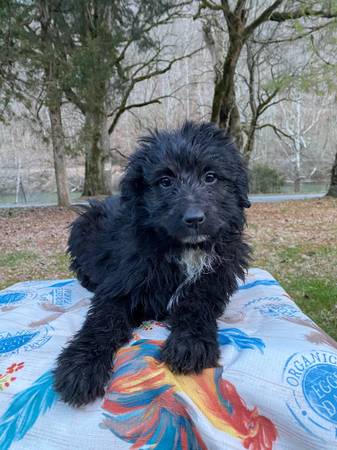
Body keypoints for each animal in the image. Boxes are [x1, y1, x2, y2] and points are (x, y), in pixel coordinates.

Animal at [53, 121, 249, 406]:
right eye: (165, 182)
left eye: (210, 176)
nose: (194, 219)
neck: (184, 249)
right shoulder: (119, 287)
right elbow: (102, 322)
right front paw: (81, 366)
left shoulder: (214, 279)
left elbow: (197, 306)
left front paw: (190, 343)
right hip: (83, 224)